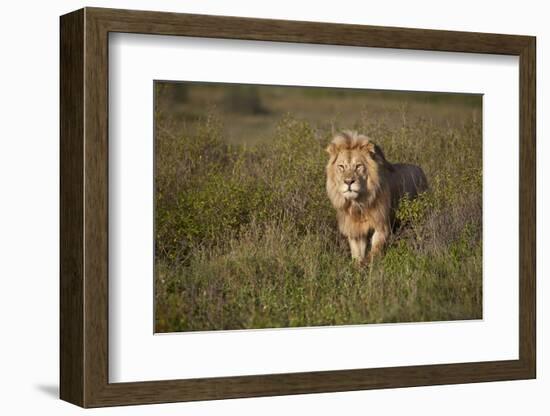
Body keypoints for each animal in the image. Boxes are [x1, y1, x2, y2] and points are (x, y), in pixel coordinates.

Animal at [328, 131, 432, 264]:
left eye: (358, 166)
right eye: (341, 166)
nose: (349, 181)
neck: (358, 203)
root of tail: (421, 170)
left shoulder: (381, 225)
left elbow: (375, 250)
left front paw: (370, 264)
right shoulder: (356, 231)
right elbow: (357, 255)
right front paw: (358, 266)